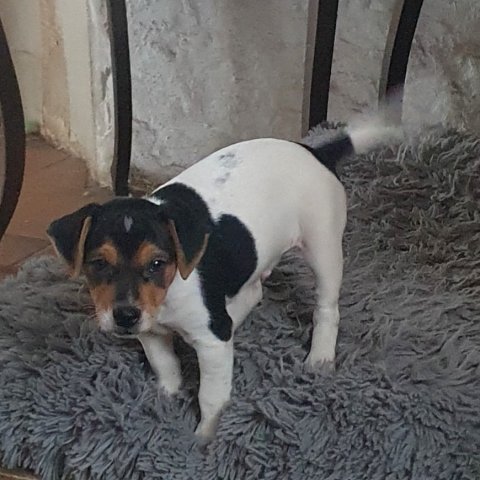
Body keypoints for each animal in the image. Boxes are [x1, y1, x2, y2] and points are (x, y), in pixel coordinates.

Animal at [47, 121, 396, 441]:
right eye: (98, 264)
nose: (125, 316)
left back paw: (320, 357)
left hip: (322, 244)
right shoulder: (150, 332)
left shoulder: (212, 343)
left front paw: (205, 438)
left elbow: (211, 397)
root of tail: (316, 152)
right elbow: (166, 366)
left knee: (327, 307)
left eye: (157, 264)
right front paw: (166, 401)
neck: (170, 294)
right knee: (253, 291)